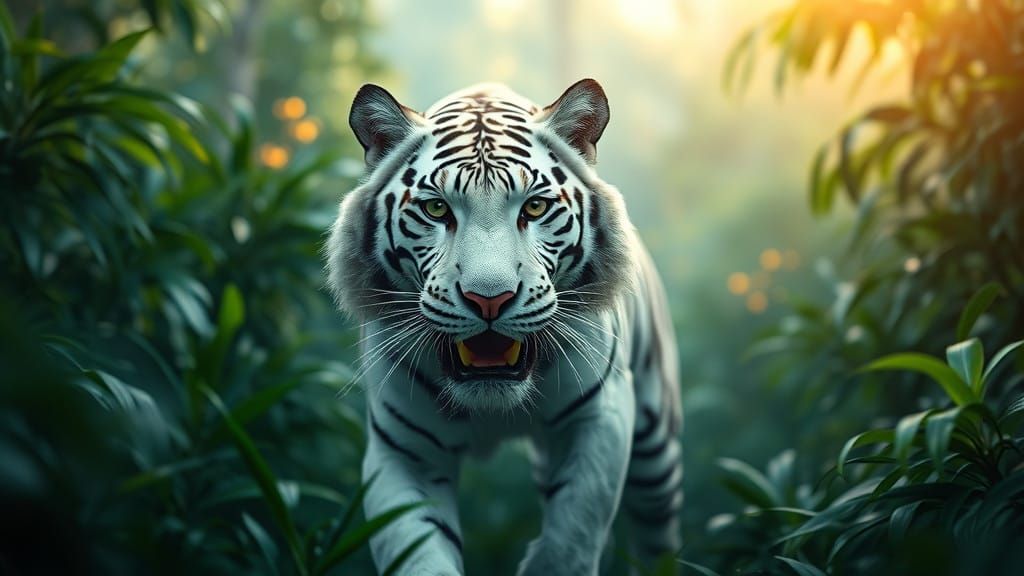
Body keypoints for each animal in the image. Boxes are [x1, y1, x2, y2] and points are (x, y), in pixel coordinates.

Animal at [325, 79, 682, 576]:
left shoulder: (600, 416)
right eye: (436, 209)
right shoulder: (404, 451)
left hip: (654, 456)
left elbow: (571, 540)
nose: (488, 298)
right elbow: (419, 555)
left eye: (535, 206)